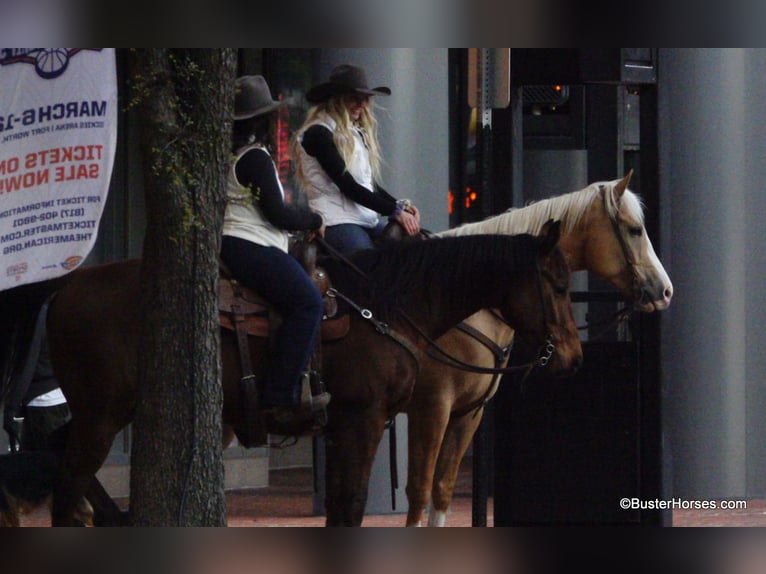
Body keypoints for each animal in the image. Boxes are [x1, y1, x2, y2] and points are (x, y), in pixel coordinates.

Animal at [1, 224, 584, 528]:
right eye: (556, 283)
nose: (574, 355)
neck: (387, 307)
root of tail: (66, 286)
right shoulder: (367, 420)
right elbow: (353, 505)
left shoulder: (354, 426)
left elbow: (341, 507)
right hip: (102, 414)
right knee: (67, 485)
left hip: (98, 411)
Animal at [404, 173, 676, 528]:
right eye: (634, 229)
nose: (666, 290)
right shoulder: (431, 408)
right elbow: (419, 493)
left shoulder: (467, 413)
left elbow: (441, 489)